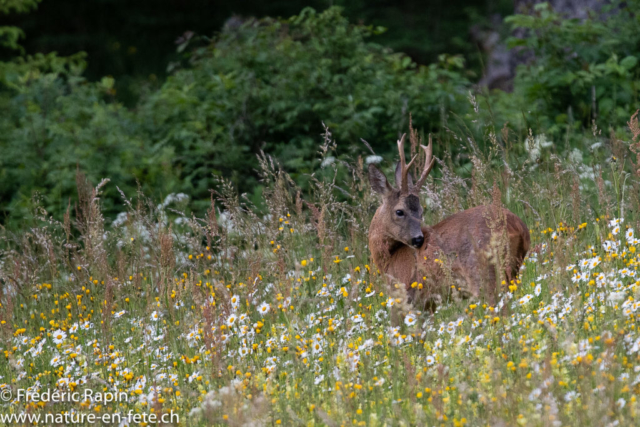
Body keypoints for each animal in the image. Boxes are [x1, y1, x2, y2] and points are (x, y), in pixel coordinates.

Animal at [370, 134, 528, 308]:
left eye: (420, 211)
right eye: (400, 211)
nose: (419, 239)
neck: (389, 261)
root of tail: (518, 227)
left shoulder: (407, 297)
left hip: (484, 272)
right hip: (512, 271)